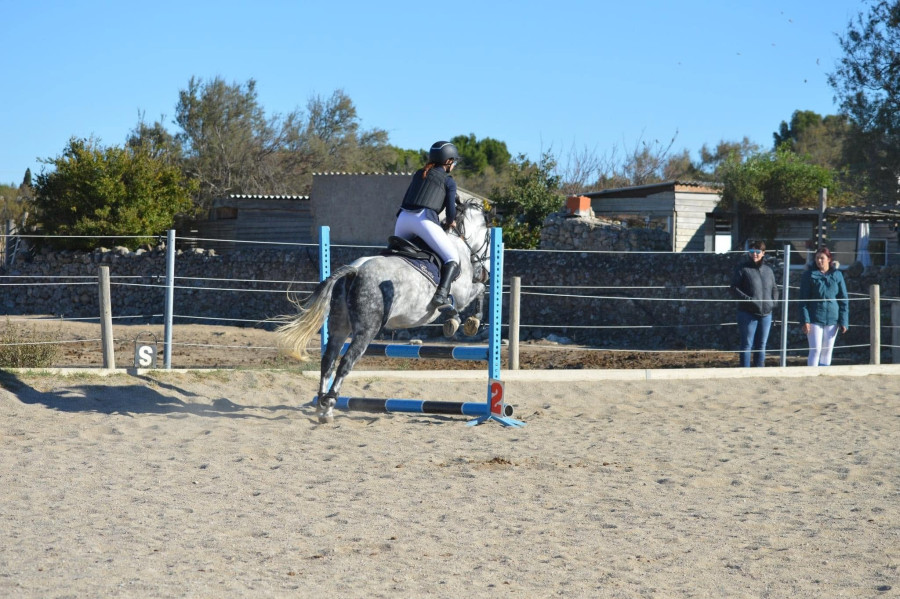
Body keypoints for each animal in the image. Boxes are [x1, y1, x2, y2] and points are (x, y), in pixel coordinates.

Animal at [280, 199, 492, 424]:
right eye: (488, 237)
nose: (485, 273)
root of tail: (355, 270)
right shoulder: (462, 294)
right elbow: (479, 291)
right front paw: (472, 322)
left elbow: (467, 298)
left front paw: (455, 321)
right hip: (367, 330)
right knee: (346, 361)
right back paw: (328, 405)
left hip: (339, 326)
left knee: (328, 359)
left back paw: (322, 408)